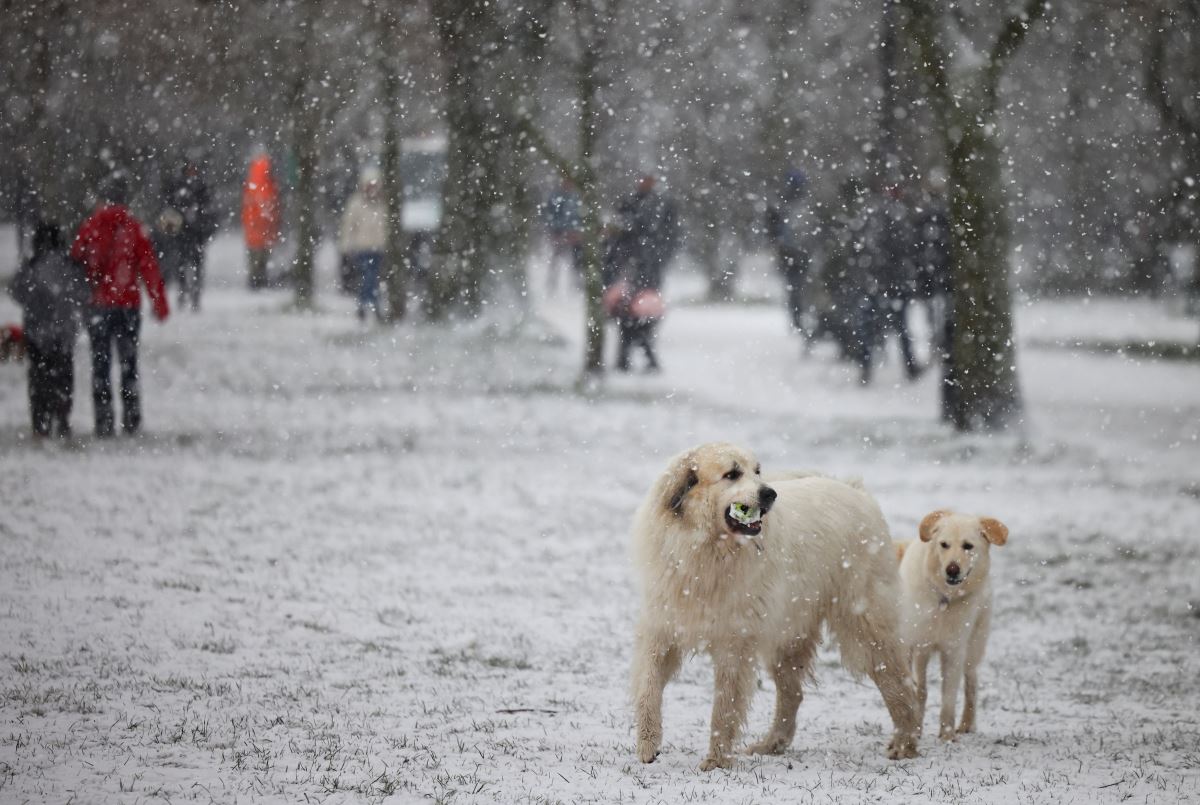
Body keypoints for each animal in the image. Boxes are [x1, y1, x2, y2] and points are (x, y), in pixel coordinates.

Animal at [628, 443, 916, 772]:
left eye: (757, 471)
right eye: (732, 474)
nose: (770, 494)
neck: (707, 552)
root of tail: (856, 491)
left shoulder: (735, 644)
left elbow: (724, 707)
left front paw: (716, 760)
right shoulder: (661, 629)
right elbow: (648, 688)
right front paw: (647, 744)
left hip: (866, 625)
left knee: (898, 682)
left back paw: (906, 742)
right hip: (788, 635)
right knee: (793, 693)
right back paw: (772, 744)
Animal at [897, 511, 1008, 743]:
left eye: (968, 546)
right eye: (944, 544)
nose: (952, 569)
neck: (943, 598)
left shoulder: (953, 650)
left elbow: (948, 695)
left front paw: (947, 736)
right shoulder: (914, 645)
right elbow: (918, 690)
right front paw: (913, 730)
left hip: (974, 646)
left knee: (971, 681)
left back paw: (966, 724)